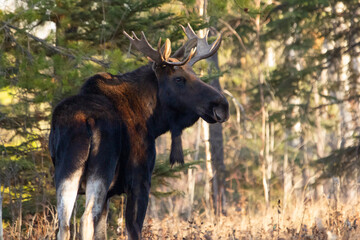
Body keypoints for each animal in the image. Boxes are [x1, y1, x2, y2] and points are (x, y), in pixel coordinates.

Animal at [49, 23, 229, 239]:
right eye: (179, 79)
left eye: (196, 75)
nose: (222, 105)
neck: (153, 122)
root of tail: (85, 121)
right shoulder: (140, 181)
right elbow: (134, 229)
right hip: (100, 170)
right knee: (86, 219)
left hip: (66, 170)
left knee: (64, 224)